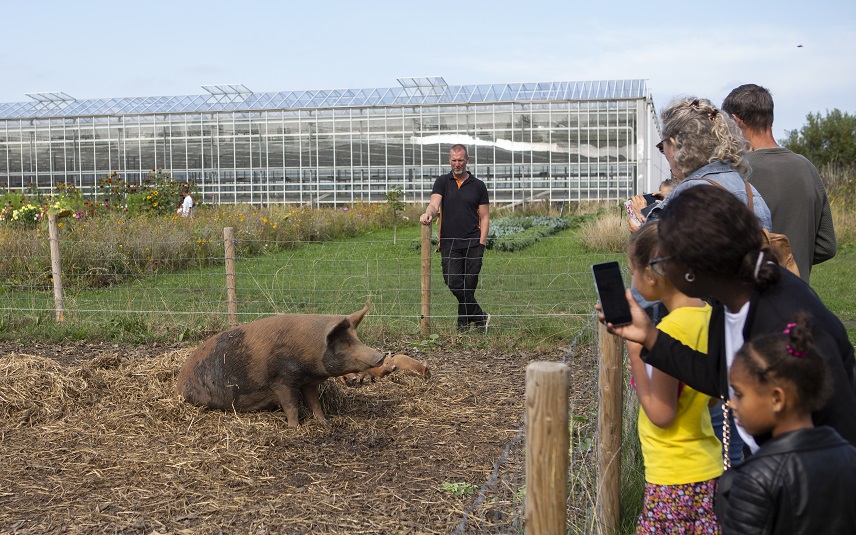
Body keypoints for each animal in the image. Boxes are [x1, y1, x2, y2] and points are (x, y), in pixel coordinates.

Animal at [176, 304, 382, 430]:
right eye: (345, 342)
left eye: (356, 338)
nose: (381, 356)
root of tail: (179, 382)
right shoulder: (281, 380)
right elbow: (291, 405)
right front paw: (294, 428)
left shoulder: (308, 382)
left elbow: (314, 403)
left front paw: (325, 423)